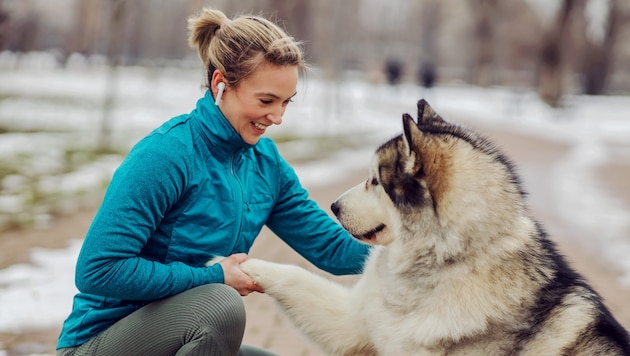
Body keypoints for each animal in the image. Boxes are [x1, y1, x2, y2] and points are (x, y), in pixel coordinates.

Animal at [237, 98, 630, 354]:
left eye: (375, 181)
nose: (333, 206)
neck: (446, 260)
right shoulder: (355, 322)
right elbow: (293, 276)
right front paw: (239, 266)